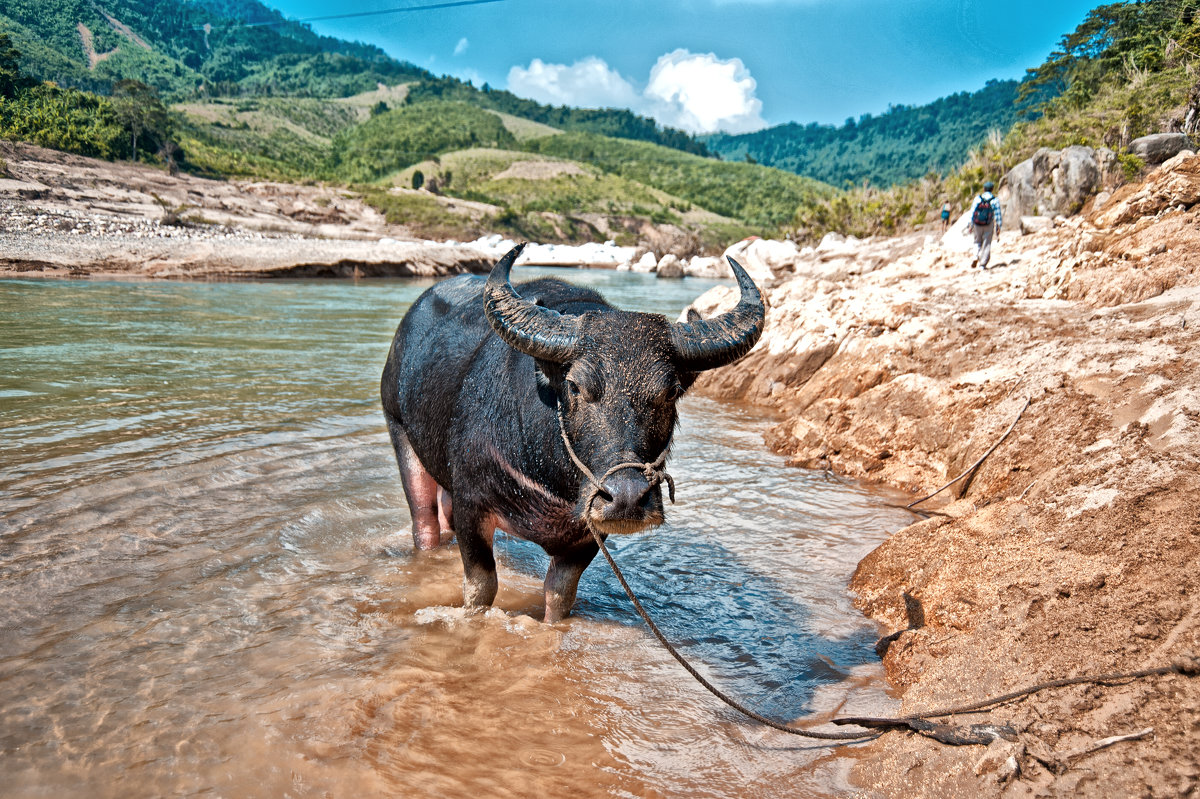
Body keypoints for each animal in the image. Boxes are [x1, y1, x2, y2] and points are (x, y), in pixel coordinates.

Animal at [379, 241, 763, 614]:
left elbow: (560, 594)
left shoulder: (588, 535)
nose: (627, 497)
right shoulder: (471, 507)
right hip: (399, 431)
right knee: (425, 524)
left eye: (669, 391)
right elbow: (480, 588)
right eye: (575, 386)